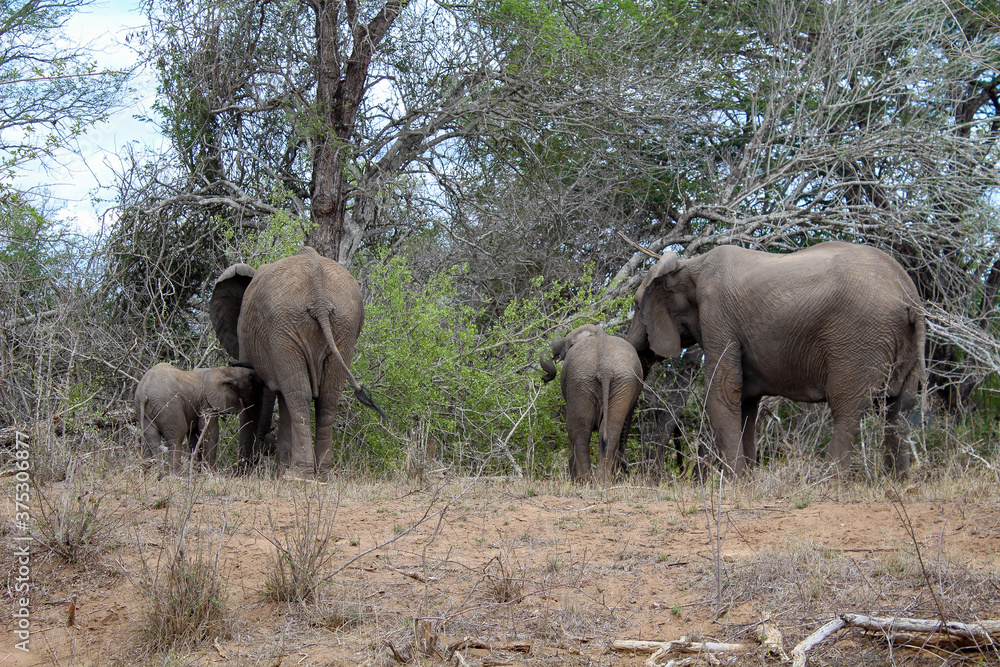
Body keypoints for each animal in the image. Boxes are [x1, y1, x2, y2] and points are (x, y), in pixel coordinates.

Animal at [211, 248, 382, 478]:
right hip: (342, 328)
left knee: (299, 395)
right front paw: (279, 472)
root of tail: (319, 297)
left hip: (285, 327)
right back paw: (322, 475)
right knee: (326, 398)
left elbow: (255, 395)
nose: (268, 445)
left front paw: (244, 472)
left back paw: (301, 475)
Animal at [544, 322, 644, 480]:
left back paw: (583, 481)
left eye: (571, 345)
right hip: (622, 384)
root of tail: (605, 368)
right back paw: (602, 481)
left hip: (580, 381)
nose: (544, 378)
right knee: (610, 431)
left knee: (579, 431)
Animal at [628, 243, 924, 478]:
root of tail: (910, 298)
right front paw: (749, 480)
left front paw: (735, 483)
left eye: (637, 304)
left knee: (847, 410)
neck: (691, 265)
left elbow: (723, 390)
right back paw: (898, 485)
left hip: (858, 340)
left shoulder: (717, 315)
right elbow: (746, 401)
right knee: (900, 411)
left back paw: (830, 483)